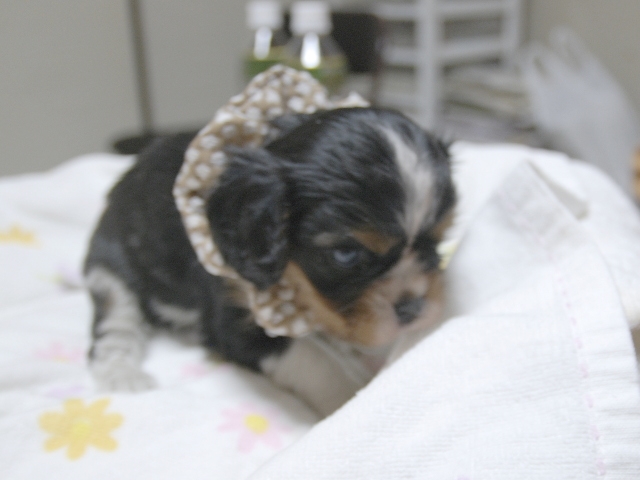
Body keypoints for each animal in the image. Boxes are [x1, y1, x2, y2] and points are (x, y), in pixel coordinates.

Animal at [84, 107, 455, 415]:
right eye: (345, 254)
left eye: (437, 242)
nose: (414, 309)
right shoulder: (234, 313)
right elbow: (315, 362)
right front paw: (353, 400)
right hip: (110, 267)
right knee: (115, 324)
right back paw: (122, 374)